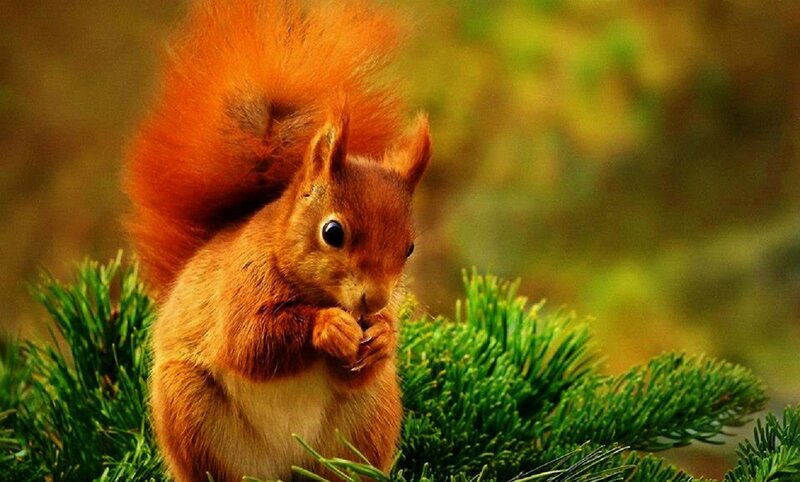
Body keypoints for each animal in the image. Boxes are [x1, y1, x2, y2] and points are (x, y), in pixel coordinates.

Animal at [123, 1, 431, 481]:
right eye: (332, 232)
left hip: (369, 418)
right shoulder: (240, 287)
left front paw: (382, 335)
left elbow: (356, 367)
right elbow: (250, 341)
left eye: (409, 247)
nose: (376, 300)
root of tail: (287, 466)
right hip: (188, 408)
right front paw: (328, 326)